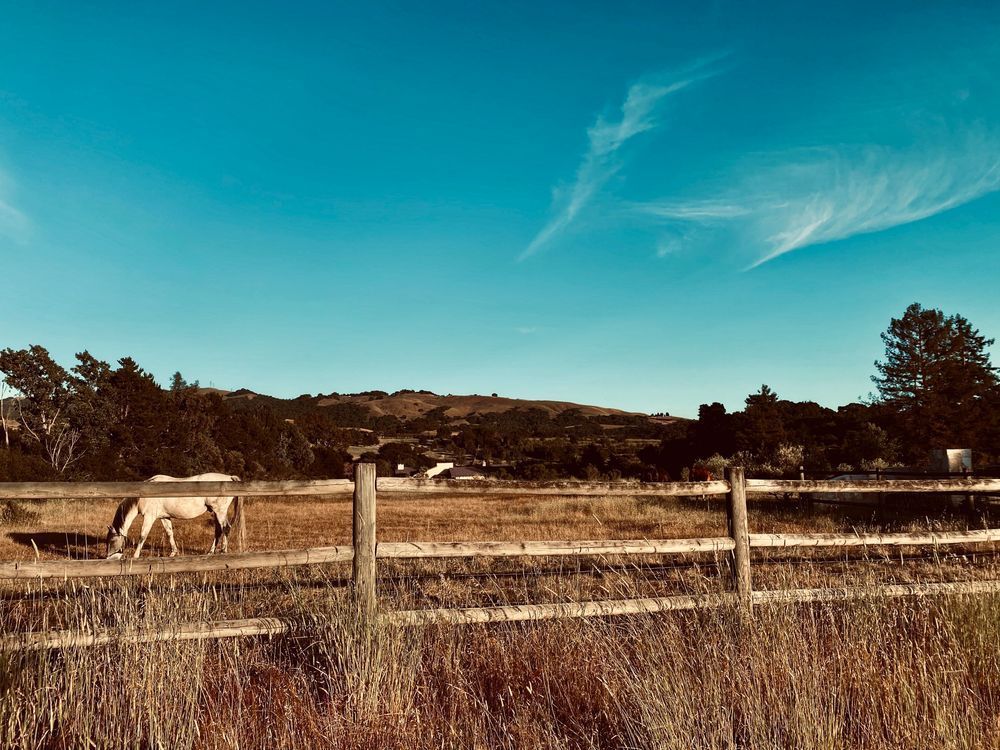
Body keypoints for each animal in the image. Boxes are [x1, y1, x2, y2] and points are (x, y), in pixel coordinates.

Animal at [106, 473, 245, 559]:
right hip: (217, 513)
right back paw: (214, 552)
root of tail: (229, 477)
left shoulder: (149, 517)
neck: (143, 496)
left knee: (225, 528)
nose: (107, 558)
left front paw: (135, 555)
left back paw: (220, 551)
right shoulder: (164, 517)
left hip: (219, 512)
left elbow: (142, 536)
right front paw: (173, 553)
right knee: (220, 530)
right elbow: (169, 533)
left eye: (112, 541)